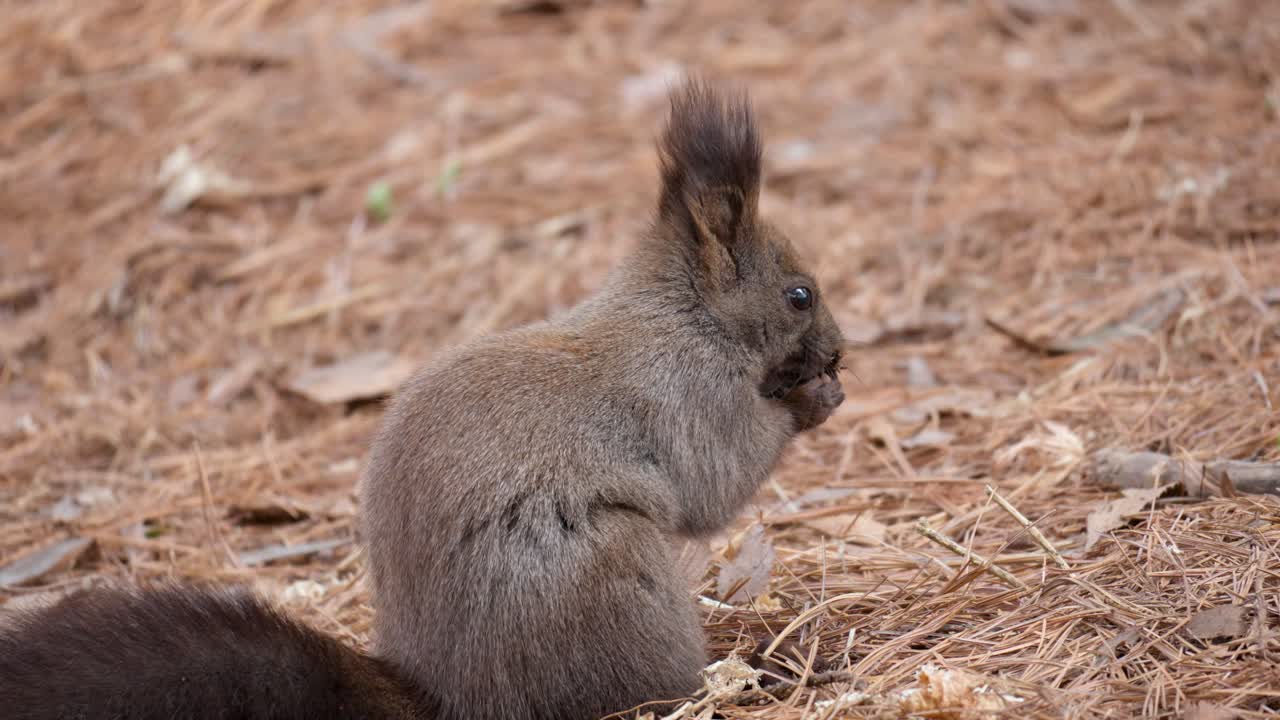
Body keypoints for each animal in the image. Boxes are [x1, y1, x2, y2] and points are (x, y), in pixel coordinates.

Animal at [0, 79, 845, 720]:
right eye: (800, 294)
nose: (840, 351)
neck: (686, 316)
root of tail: (445, 694)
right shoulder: (683, 394)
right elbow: (715, 478)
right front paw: (812, 400)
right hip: (608, 578)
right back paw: (737, 676)